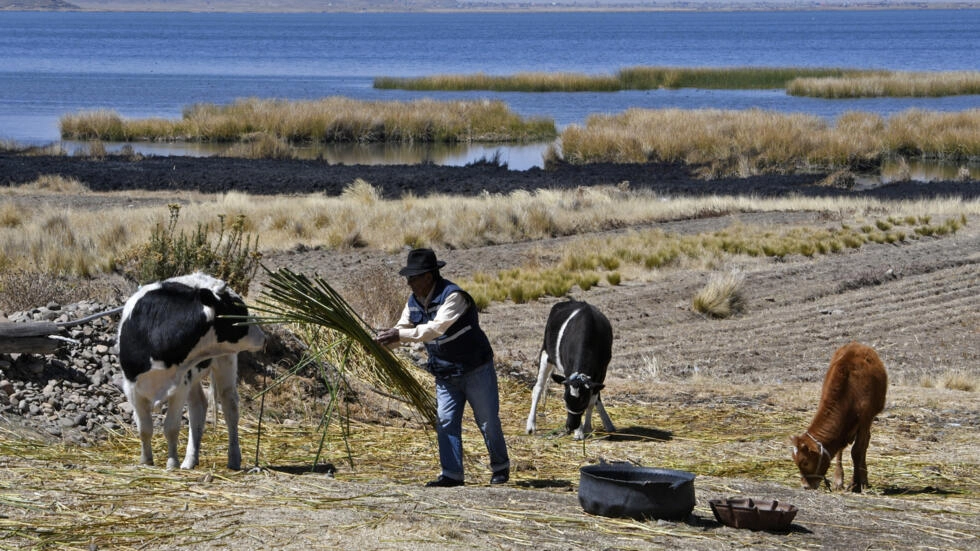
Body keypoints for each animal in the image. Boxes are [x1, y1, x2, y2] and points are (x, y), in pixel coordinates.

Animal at [115, 272, 266, 470]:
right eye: (239, 312)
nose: (262, 336)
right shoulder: (132, 387)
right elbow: (144, 428)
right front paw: (146, 461)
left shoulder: (179, 387)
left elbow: (171, 427)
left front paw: (172, 462)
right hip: (193, 375)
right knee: (198, 406)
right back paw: (190, 460)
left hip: (225, 360)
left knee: (230, 406)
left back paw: (233, 459)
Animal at [524, 300, 616, 442]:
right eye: (565, 399)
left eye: (582, 401)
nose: (571, 426)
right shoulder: (568, 370)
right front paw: (579, 432)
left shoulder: (601, 371)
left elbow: (593, 400)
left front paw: (587, 427)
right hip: (545, 353)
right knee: (537, 389)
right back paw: (531, 426)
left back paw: (608, 423)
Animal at [788, 342, 888, 494]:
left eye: (805, 461)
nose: (806, 486)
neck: (851, 390)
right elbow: (840, 450)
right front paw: (838, 480)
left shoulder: (865, 418)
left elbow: (857, 451)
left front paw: (857, 483)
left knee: (864, 444)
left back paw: (863, 480)